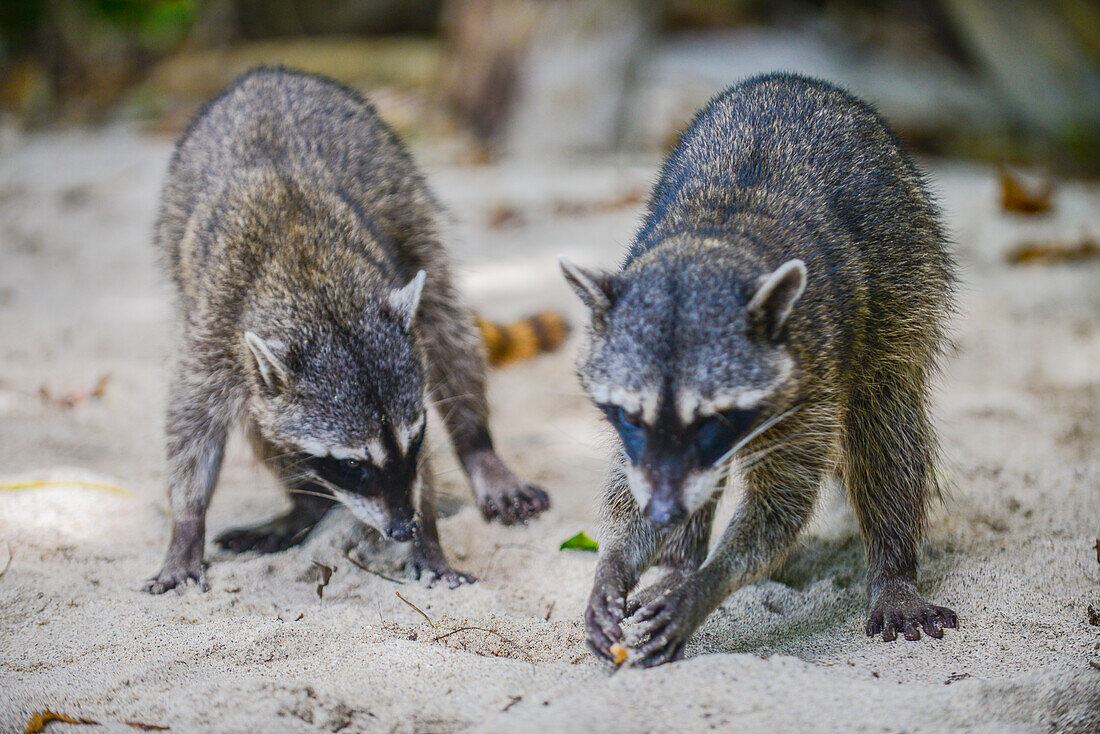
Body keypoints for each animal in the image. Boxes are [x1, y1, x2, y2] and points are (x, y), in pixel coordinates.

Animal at [148, 67, 550, 598]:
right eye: (353, 466)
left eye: (414, 442)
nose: (404, 529)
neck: (318, 294)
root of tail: (267, 73)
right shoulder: (215, 330)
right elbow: (190, 423)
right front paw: (187, 524)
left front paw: (429, 534)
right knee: (258, 418)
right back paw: (306, 504)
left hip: (408, 199)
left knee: (448, 324)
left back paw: (477, 446)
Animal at [563, 73, 959, 664]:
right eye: (631, 416)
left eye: (711, 420)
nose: (664, 515)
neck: (722, 232)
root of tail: (793, 80)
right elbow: (628, 486)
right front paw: (617, 564)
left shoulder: (813, 370)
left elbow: (780, 509)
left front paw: (704, 586)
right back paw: (678, 561)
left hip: (910, 266)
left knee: (885, 422)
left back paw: (893, 570)